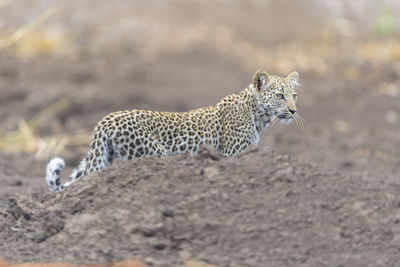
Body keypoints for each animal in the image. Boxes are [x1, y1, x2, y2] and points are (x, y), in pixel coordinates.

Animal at [46, 70, 300, 193]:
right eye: (280, 96)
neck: (257, 115)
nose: (294, 110)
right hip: (153, 153)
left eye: (294, 95)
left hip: (101, 159)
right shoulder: (231, 155)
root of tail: (105, 121)